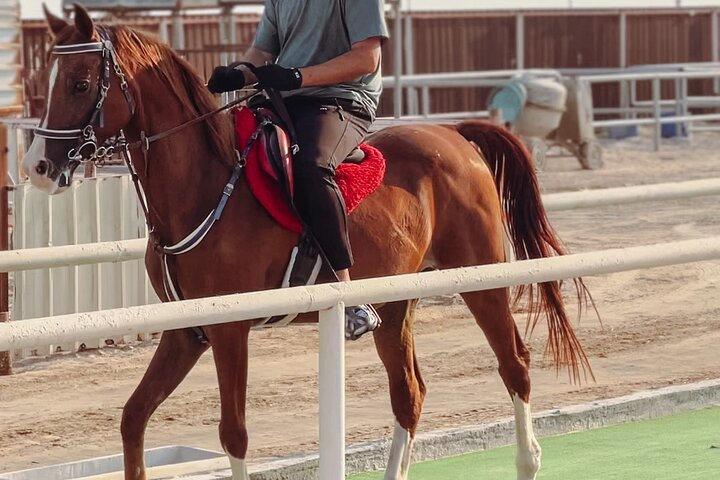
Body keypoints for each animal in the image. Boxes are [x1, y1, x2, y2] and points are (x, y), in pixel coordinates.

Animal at [25, 6, 592, 480]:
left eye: (79, 83)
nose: (37, 167)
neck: (206, 185)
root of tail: (453, 135)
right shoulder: (186, 331)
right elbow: (133, 418)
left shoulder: (230, 330)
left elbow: (233, 435)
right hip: (396, 299)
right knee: (408, 393)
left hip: (483, 281)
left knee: (514, 364)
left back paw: (528, 461)